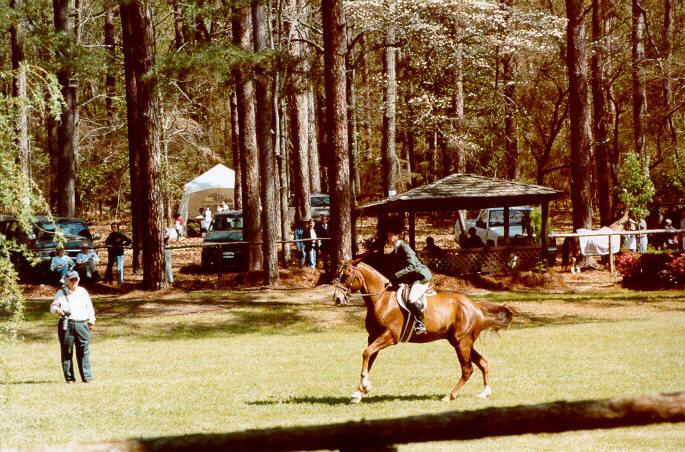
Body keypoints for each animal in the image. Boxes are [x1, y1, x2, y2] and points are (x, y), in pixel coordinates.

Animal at [334, 260, 510, 404]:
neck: (382, 300)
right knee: (483, 362)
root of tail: (475, 305)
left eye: (346, 276)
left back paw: (450, 396)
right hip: (460, 342)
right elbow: (368, 358)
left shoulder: (389, 336)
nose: (337, 298)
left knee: (467, 369)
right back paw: (485, 392)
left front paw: (365, 387)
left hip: (462, 343)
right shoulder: (373, 338)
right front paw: (357, 393)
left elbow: (366, 353)